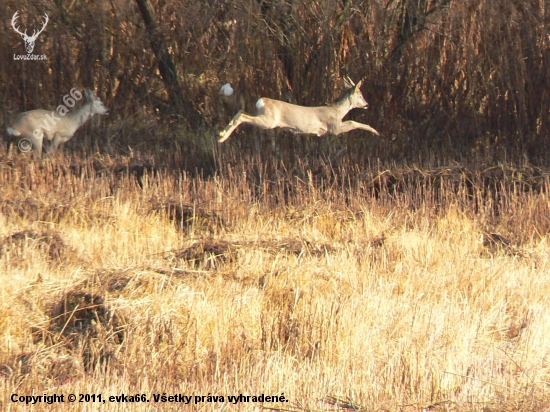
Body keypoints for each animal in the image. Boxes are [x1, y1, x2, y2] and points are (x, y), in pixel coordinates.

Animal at [219, 77, 380, 143]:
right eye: (360, 95)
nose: (366, 104)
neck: (337, 111)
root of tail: (261, 101)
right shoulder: (334, 127)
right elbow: (353, 122)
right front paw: (375, 131)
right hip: (268, 121)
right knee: (242, 116)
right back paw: (222, 138)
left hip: (262, 116)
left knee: (240, 112)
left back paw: (221, 134)